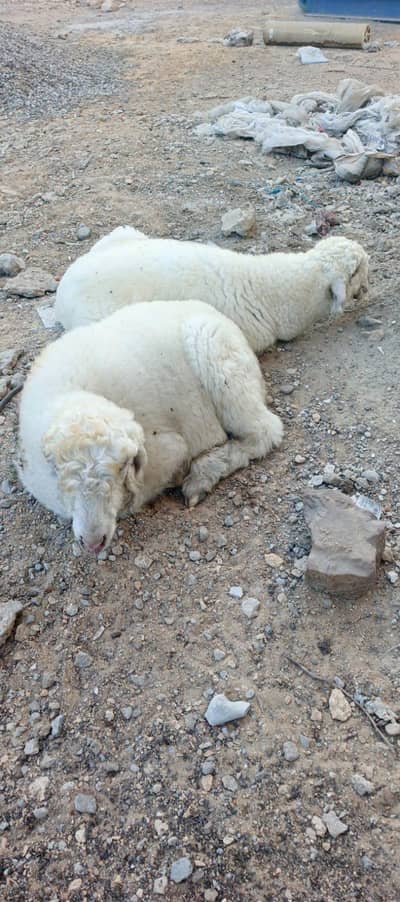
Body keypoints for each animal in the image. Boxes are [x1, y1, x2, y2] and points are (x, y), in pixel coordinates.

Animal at [18, 300, 283, 553]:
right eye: (57, 471)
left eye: (123, 468)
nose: (94, 543)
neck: (76, 394)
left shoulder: (164, 450)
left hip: (221, 362)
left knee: (266, 432)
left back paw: (203, 474)